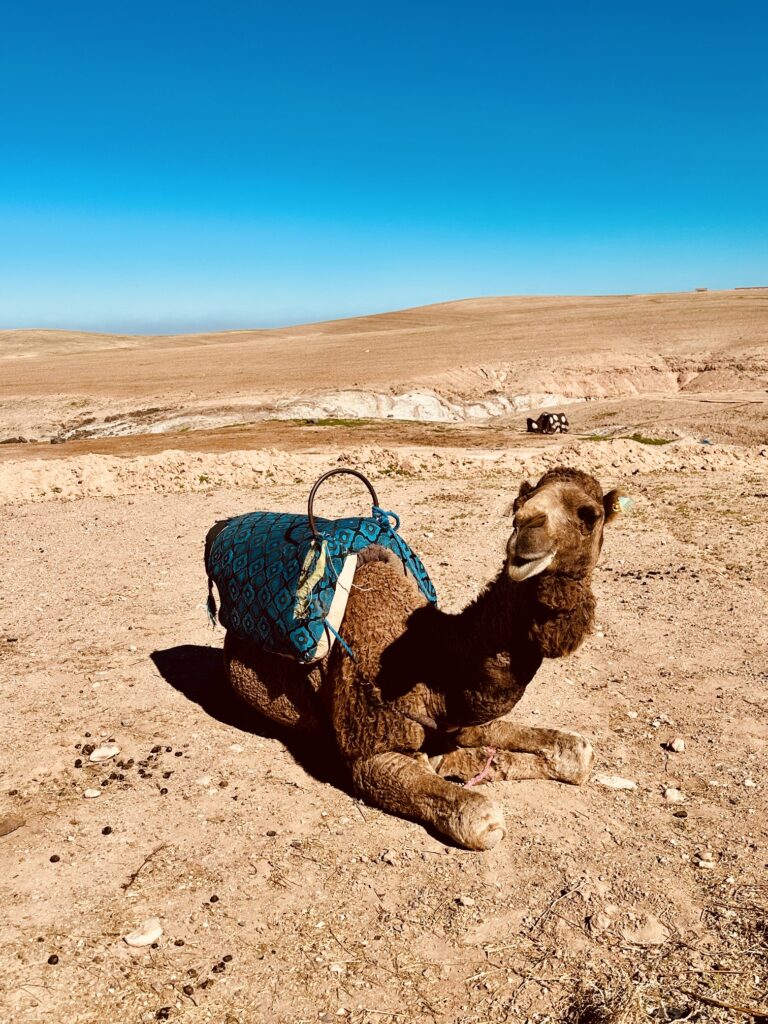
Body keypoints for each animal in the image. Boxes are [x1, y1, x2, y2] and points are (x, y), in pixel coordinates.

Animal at [215, 467, 624, 850]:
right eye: (516, 508)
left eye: (590, 515)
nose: (527, 529)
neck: (428, 663)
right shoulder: (371, 750)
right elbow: (482, 819)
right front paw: (458, 767)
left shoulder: (460, 718)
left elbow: (579, 752)